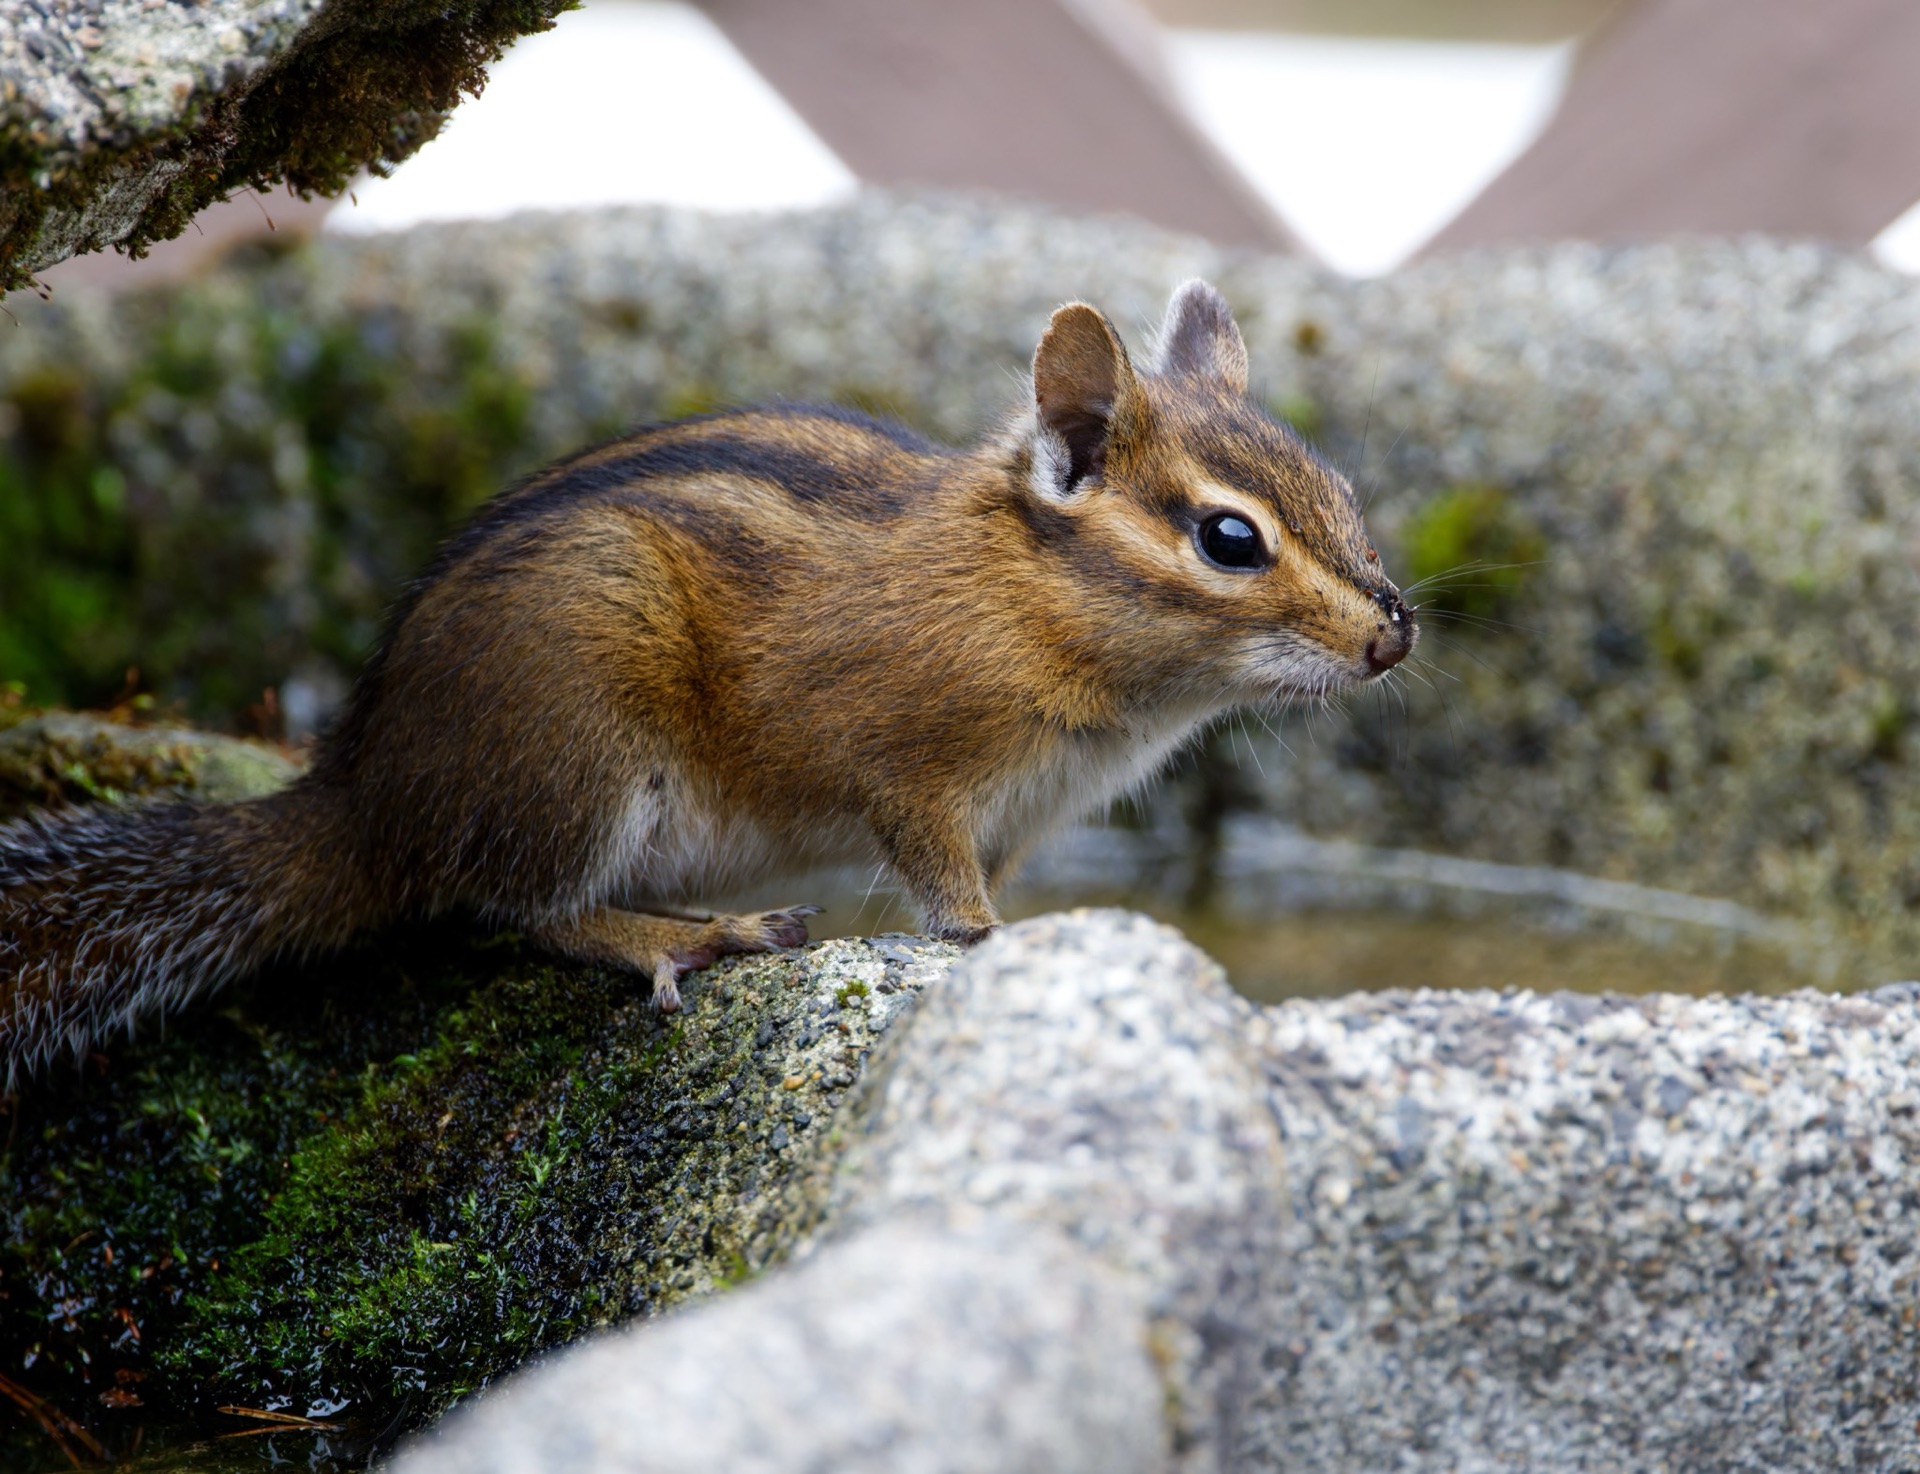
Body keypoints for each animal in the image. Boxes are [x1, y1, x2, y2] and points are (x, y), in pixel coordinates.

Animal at [0, 281, 1413, 1083]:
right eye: (1228, 538)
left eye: (1342, 492)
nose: (1393, 637)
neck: (1029, 596)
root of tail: (356, 793)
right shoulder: (911, 772)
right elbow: (945, 898)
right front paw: (984, 952)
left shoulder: (1026, 815)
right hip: (579, 743)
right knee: (516, 910)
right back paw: (688, 932)